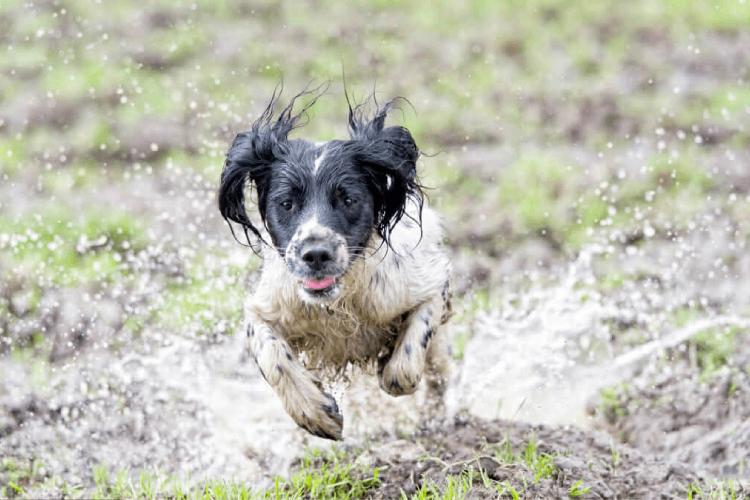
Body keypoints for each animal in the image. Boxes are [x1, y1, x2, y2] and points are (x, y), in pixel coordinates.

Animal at [217, 90, 452, 442]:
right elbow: (272, 356)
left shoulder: (430, 287)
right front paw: (315, 413)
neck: (339, 302)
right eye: (286, 203)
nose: (315, 254)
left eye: (348, 199)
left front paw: (390, 365)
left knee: (439, 376)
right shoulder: (266, 308)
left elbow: (406, 364)